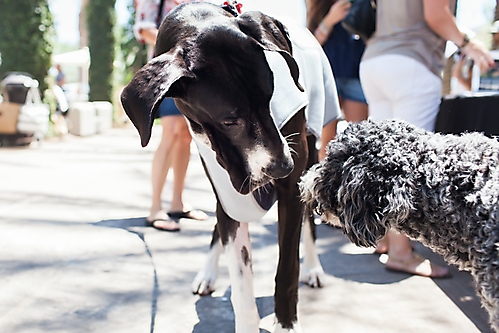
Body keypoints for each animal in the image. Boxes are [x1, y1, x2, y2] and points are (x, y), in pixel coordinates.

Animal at [121, 1, 340, 330]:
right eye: (229, 120)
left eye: (270, 98)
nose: (282, 167)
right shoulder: (226, 184)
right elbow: (240, 285)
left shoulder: (291, 184)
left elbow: (288, 268)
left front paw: (286, 324)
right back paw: (208, 274)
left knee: (308, 221)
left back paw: (314, 268)